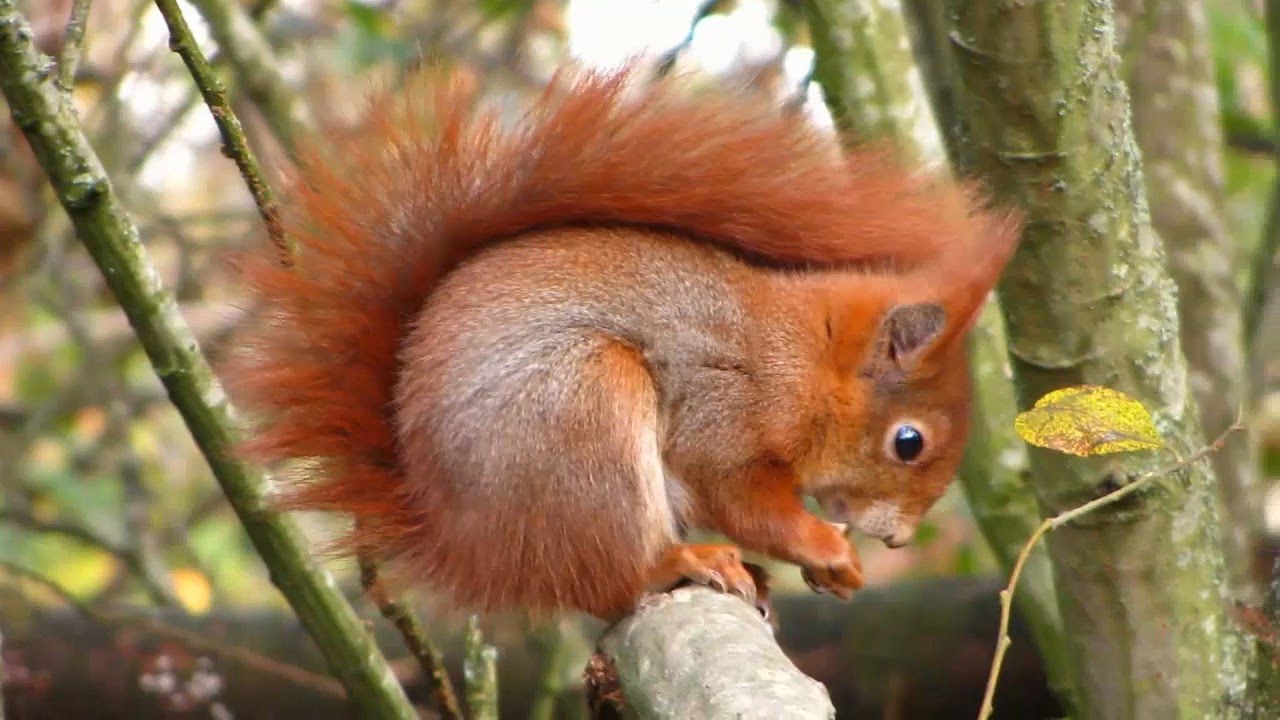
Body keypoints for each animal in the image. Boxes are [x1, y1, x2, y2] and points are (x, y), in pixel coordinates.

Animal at [223, 64, 1021, 622]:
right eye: (909, 442)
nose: (900, 540)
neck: (800, 353)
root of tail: (462, 542)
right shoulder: (722, 409)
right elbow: (745, 501)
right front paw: (825, 545)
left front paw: (833, 570)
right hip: (583, 414)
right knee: (608, 584)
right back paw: (678, 562)